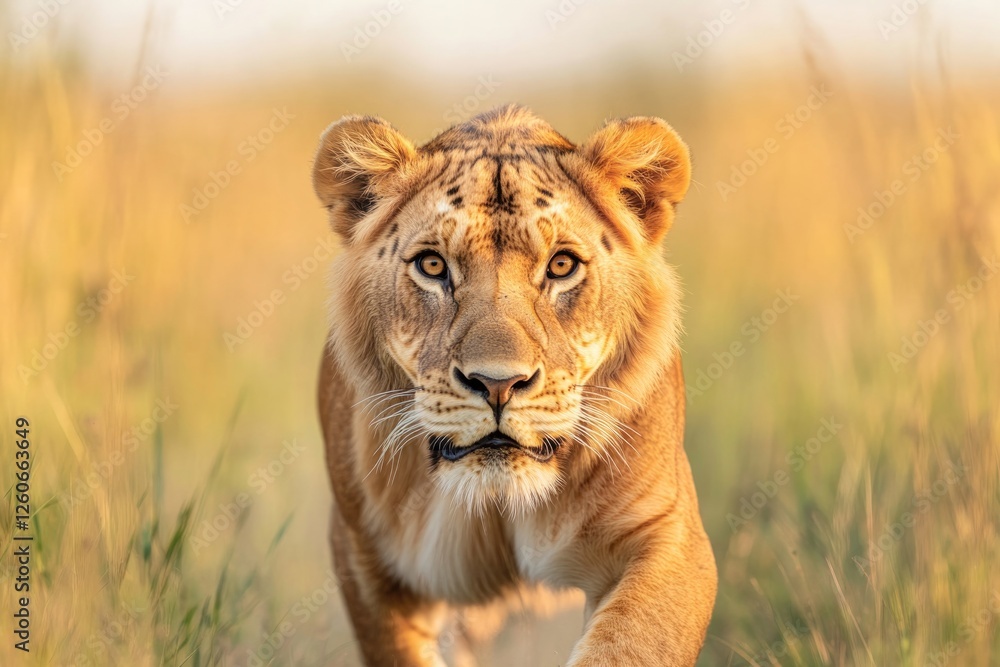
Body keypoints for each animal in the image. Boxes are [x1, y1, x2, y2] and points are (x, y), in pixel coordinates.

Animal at [313, 105, 716, 666]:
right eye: (433, 265)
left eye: (562, 265)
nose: (497, 383)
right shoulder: (365, 554)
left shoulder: (669, 537)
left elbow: (627, 646)